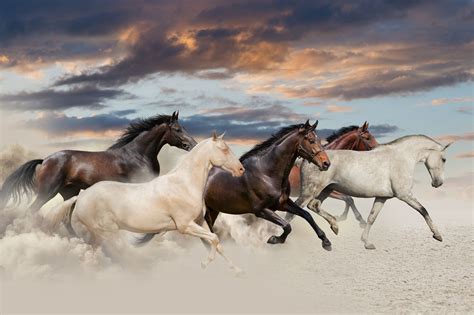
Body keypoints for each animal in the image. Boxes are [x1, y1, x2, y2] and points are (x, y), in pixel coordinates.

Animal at [0, 111, 196, 215]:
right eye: (178, 129)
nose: (193, 145)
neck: (137, 155)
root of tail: (44, 160)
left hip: (69, 192)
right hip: (46, 192)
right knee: (31, 212)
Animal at [45, 132, 244, 272]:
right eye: (224, 149)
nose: (241, 169)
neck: (184, 184)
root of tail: (82, 196)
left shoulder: (199, 222)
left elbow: (217, 244)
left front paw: (237, 271)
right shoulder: (185, 226)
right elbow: (215, 239)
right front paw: (204, 264)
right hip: (107, 231)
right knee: (111, 251)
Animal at [137, 121, 334, 252]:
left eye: (318, 139)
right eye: (310, 139)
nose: (326, 164)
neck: (267, 172)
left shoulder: (282, 204)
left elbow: (307, 215)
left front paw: (326, 242)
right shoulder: (261, 210)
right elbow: (287, 226)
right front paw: (274, 239)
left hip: (212, 210)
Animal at [290, 135, 450, 251]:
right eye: (444, 159)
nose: (438, 183)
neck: (401, 158)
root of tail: (305, 160)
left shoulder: (382, 197)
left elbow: (372, 218)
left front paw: (367, 243)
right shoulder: (404, 195)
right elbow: (423, 210)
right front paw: (437, 235)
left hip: (326, 190)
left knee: (314, 206)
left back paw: (334, 227)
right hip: (311, 191)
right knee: (295, 210)